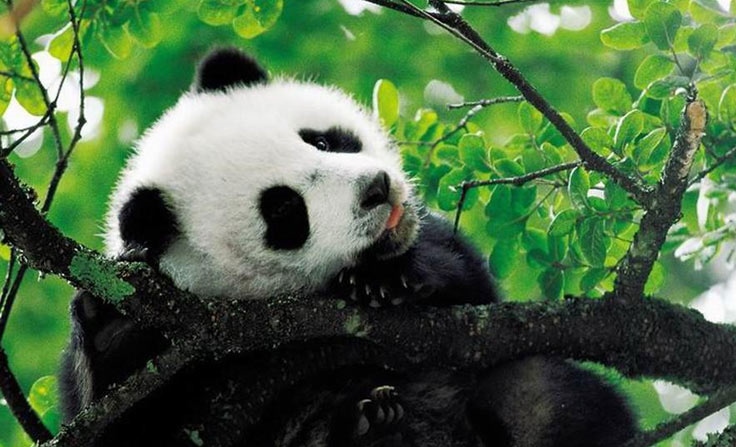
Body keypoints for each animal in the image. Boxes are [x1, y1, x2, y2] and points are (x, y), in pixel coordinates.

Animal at [59, 48, 636, 447]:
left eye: (320, 140)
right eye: (285, 211)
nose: (376, 189)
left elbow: (469, 284)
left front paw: (385, 279)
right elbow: (124, 423)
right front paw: (111, 328)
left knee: (547, 397)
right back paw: (364, 425)